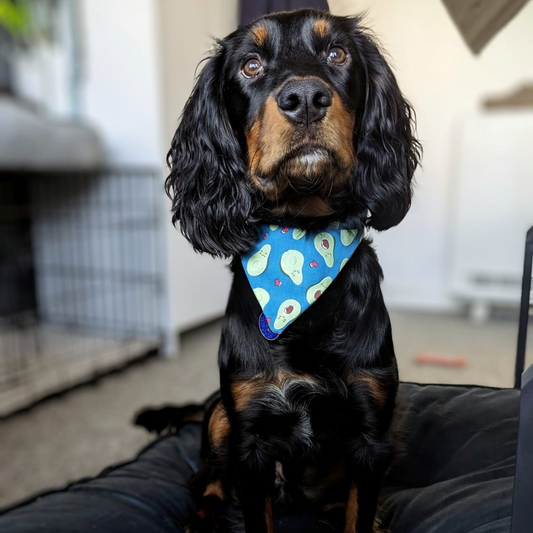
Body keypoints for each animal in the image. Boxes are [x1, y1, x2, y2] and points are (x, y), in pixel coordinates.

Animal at [137, 8, 420, 532]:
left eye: (337, 54)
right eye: (250, 65)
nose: (305, 98)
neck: (304, 245)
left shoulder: (371, 431)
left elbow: (359, 509)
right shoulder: (251, 436)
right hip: (220, 416)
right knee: (207, 477)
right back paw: (203, 515)